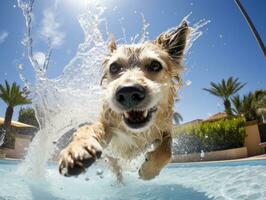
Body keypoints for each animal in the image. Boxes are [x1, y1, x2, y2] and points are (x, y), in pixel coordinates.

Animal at [59, 21, 190, 180]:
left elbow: (167, 150)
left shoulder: (164, 130)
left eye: (155, 65)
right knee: (117, 171)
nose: (128, 92)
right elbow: (88, 128)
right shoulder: (108, 125)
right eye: (114, 67)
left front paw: (148, 171)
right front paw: (78, 149)